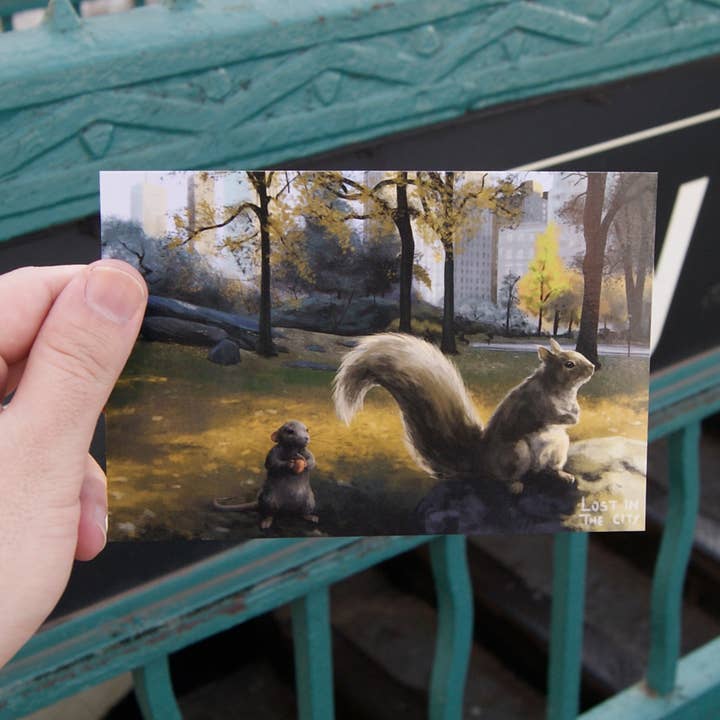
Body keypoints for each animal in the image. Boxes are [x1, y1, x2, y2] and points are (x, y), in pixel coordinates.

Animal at [333, 334, 594, 493]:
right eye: (569, 364)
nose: (592, 367)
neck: (562, 390)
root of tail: (479, 460)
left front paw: (576, 413)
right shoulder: (535, 404)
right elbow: (549, 415)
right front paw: (570, 416)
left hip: (558, 447)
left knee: (547, 469)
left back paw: (562, 475)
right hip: (516, 453)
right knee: (502, 477)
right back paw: (515, 486)